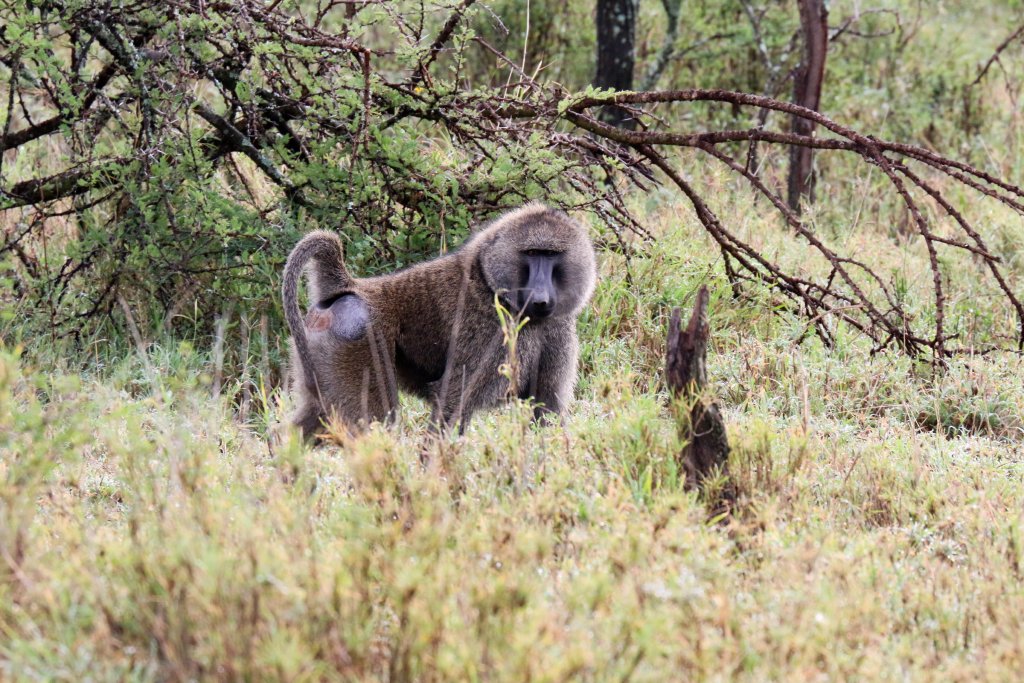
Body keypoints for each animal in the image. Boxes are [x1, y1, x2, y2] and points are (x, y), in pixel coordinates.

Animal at [281, 202, 597, 439]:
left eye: (551, 255)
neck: (491, 283)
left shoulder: (556, 329)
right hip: (355, 343)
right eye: (532, 253)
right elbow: (452, 404)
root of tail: (348, 287)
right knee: (372, 427)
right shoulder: (487, 333)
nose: (540, 297)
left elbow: (546, 411)